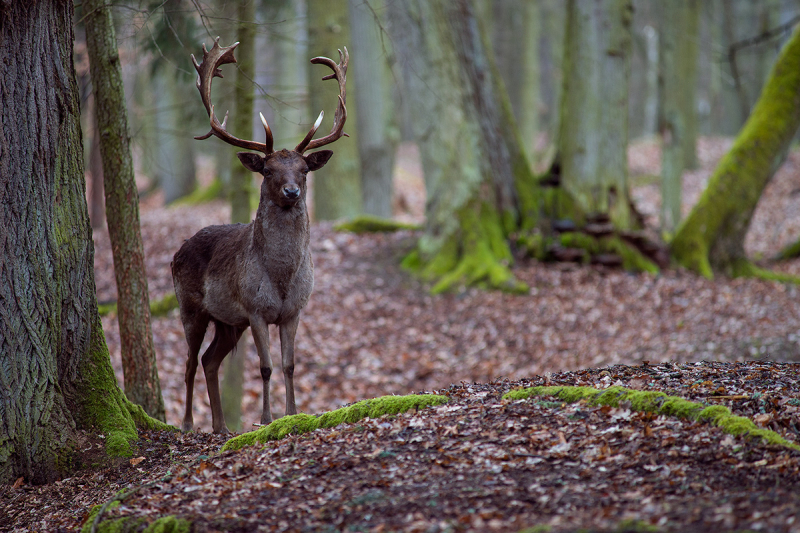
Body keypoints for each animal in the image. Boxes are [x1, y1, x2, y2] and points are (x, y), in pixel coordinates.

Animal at [170, 38, 348, 432]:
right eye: (267, 170)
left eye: (304, 170)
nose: (291, 191)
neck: (280, 277)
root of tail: (177, 251)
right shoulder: (254, 309)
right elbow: (265, 367)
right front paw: (266, 418)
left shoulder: (294, 310)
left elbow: (289, 365)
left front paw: (293, 412)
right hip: (190, 306)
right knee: (189, 363)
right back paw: (188, 423)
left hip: (227, 321)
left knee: (209, 360)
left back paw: (221, 426)